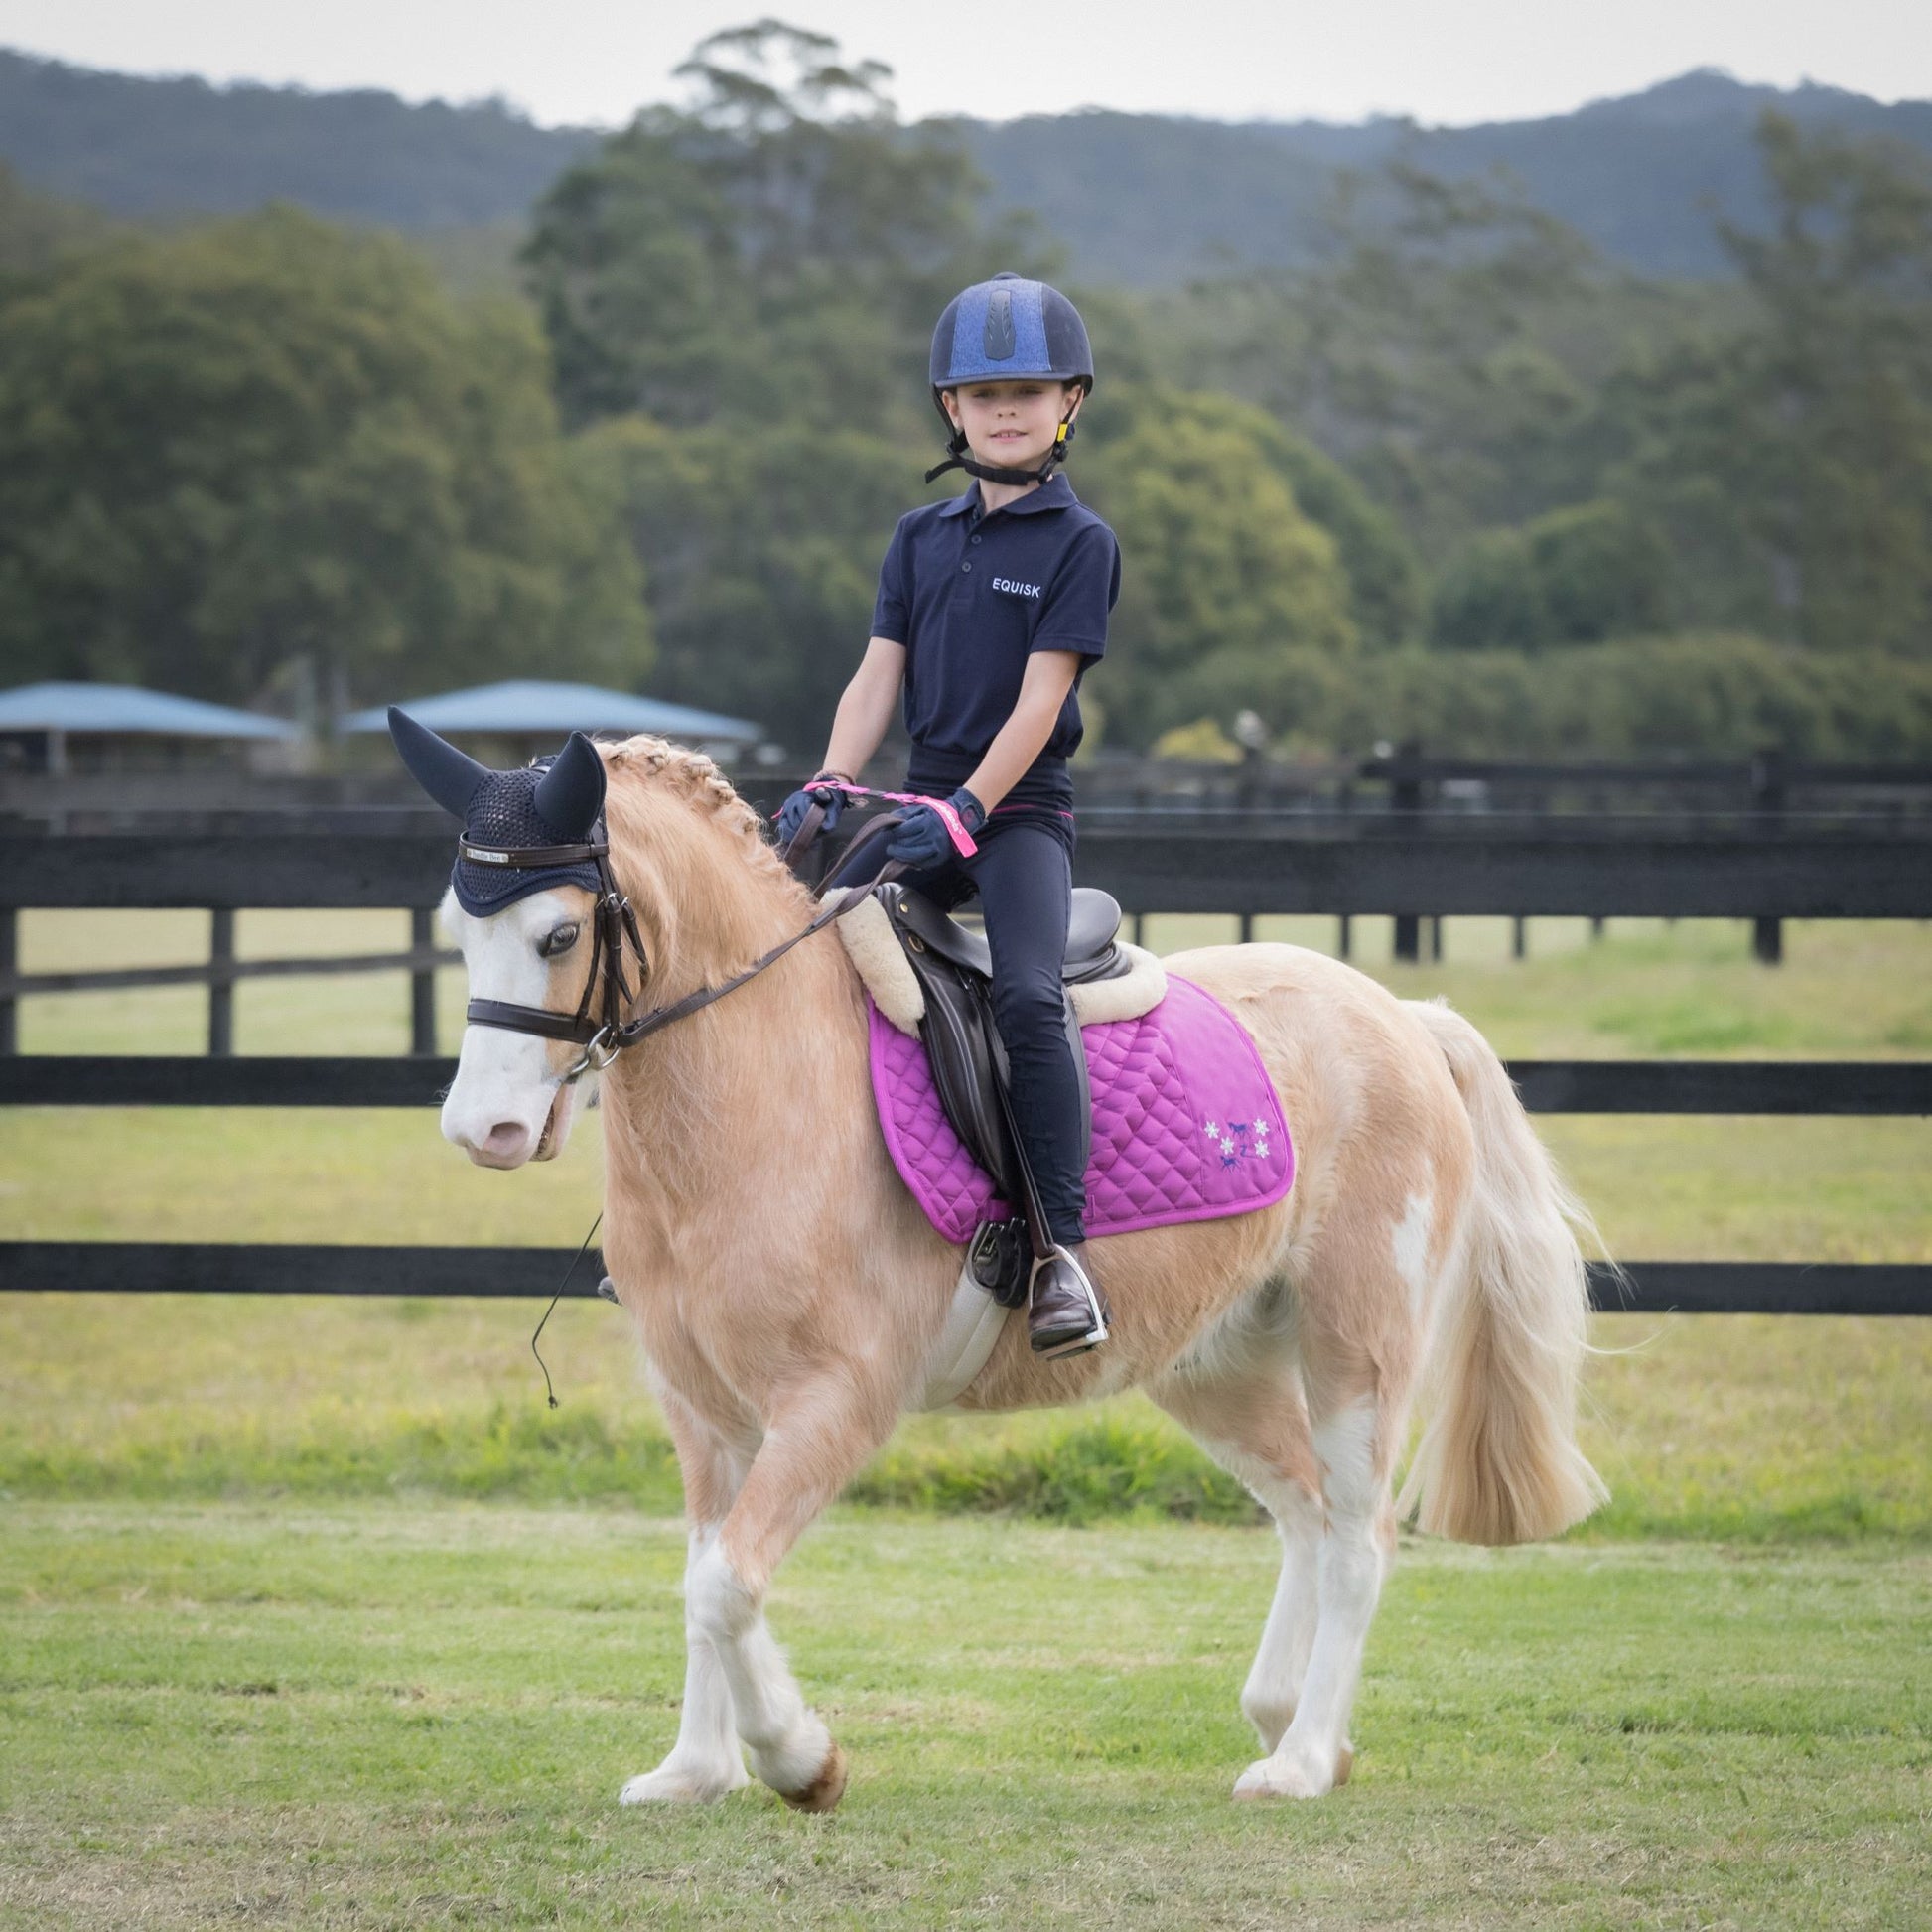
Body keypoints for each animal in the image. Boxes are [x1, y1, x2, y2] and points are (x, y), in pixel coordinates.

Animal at [427, 726, 1614, 1808]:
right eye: (459, 932)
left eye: (558, 931)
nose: (482, 1130)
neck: (765, 1072)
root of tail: (1399, 1016)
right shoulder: (705, 1411)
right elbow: (706, 1577)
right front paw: (695, 1769)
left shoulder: (836, 1399)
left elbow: (725, 1583)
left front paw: (801, 1760)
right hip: (1214, 1363)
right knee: (1308, 1509)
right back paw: (1282, 1716)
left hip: (1355, 1343)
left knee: (1361, 1534)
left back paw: (1305, 1760)